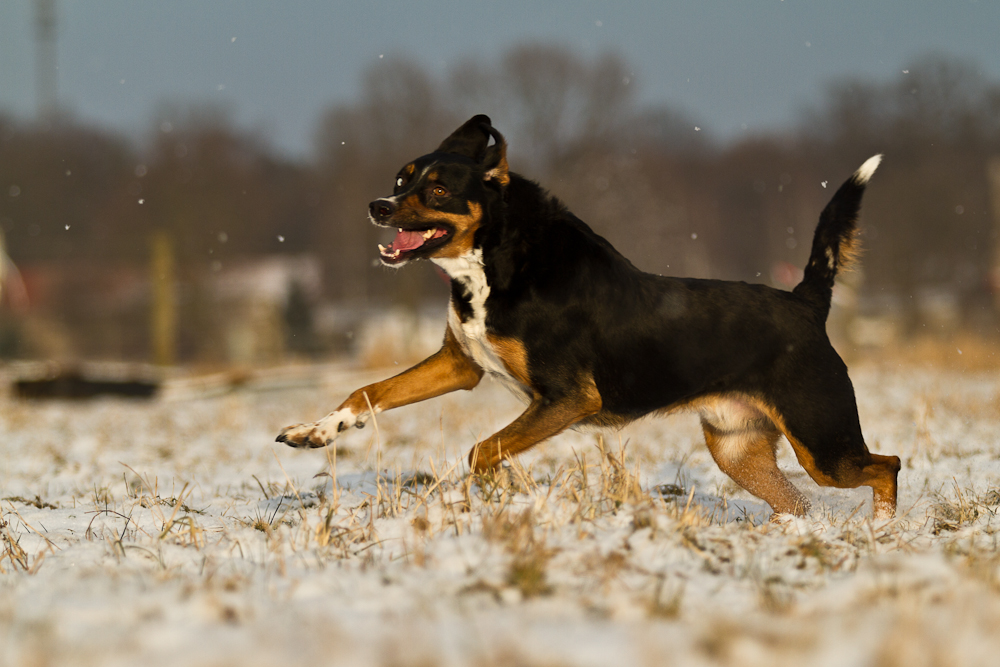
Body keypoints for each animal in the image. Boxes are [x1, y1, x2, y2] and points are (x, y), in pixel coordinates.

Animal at [278, 116, 904, 520]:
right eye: (400, 179)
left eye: (435, 189)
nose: (377, 207)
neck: (498, 263)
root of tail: (805, 302)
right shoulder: (461, 365)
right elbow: (368, 392)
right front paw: (315, 431)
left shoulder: (568, 398)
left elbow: (483, 450)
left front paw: (461, 501)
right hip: (739, 451)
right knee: (803, 499)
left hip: (823, 444)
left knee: (888, 465)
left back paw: (883, 536)